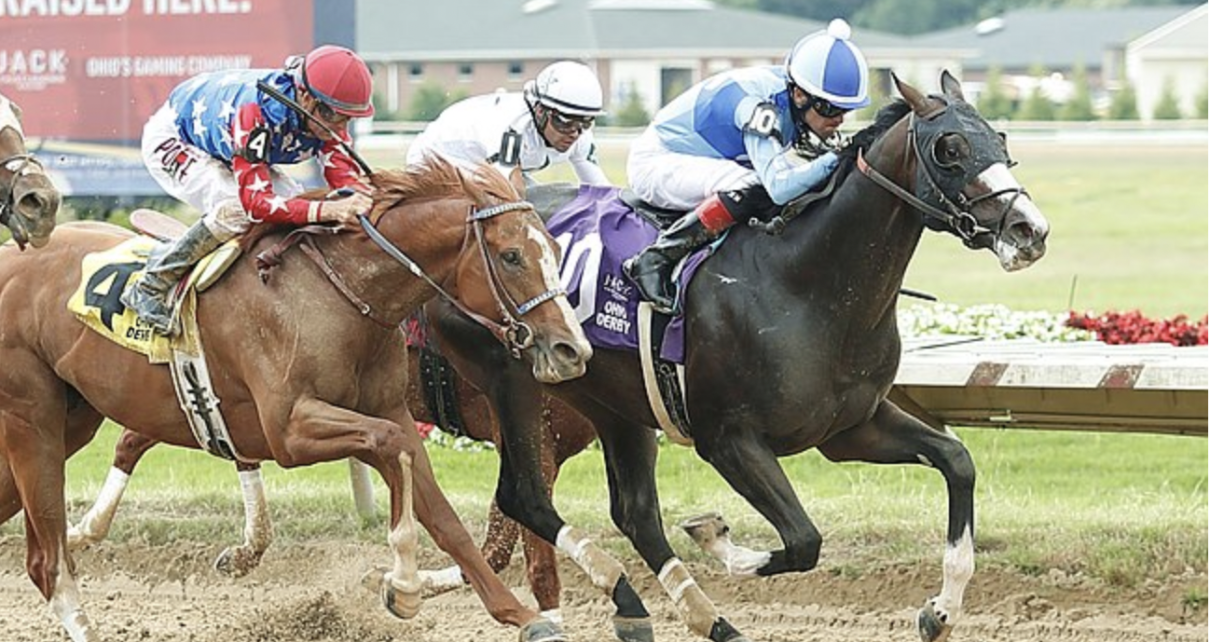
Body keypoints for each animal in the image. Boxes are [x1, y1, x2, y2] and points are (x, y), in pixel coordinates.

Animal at [0, 158, 590, 642]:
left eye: (556, 250)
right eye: (511, 256)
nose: (572, 349)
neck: (341, 294)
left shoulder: (390, 410)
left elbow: (443, 516)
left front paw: (521, 616)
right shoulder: (291, 431)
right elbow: (392, 448)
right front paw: (402, 583)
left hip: (73, 420)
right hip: (32, 419)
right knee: (48, 560)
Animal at [425, 71, 1050, 642]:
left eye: (997, 136)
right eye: (950, 148)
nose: (1030, 230)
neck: (807, 284)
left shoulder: (850, 427)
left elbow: (957, 461)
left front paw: (940, 610)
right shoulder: (728, 438)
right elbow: (803, 540)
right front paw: (714, 537)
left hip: (612, 401)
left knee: (633, 513)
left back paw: (683, 616)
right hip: (518, 382)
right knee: (523, 497)